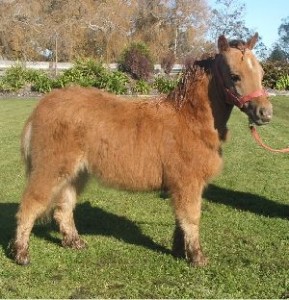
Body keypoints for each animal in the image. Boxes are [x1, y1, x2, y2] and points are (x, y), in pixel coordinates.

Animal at [10, 34, 272, 266]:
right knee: (30, 205)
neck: (190, 119)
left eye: (261, 73)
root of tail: (41, 106)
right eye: (234, 76)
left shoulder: (180, 185)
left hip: (74, 174)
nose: (265, 113)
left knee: (63, 209)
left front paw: (180, 252)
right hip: (50, 169)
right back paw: (21, 254)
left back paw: (74, 243)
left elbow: (180, 219)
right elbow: (191, 218)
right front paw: (197, 258)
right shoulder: (188, 183)